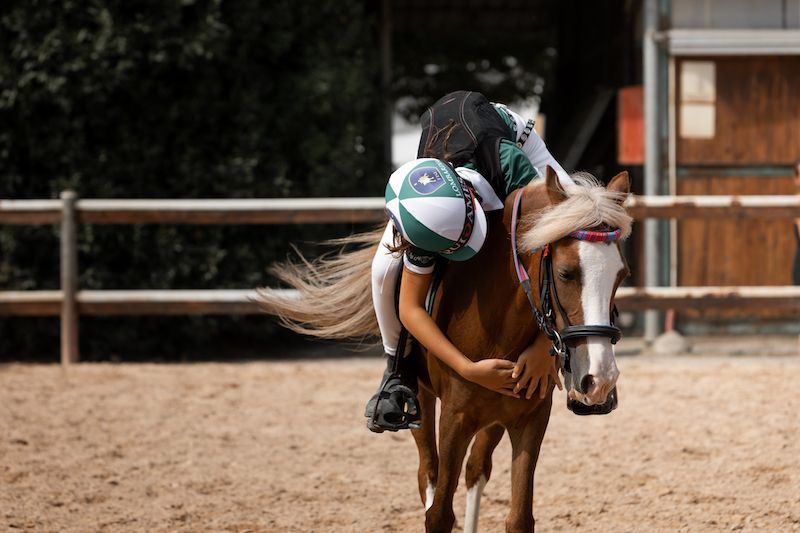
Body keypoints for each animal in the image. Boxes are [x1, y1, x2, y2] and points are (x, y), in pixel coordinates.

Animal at [257, 166, 632, 532]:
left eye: (622, 275)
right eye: (566, 273)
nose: (600, 380)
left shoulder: (531, 418)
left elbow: (519, 517)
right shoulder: (455, 418)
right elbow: (438, 514)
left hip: (496, 417)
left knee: (476, 469)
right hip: (422, 402)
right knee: (429, 473)